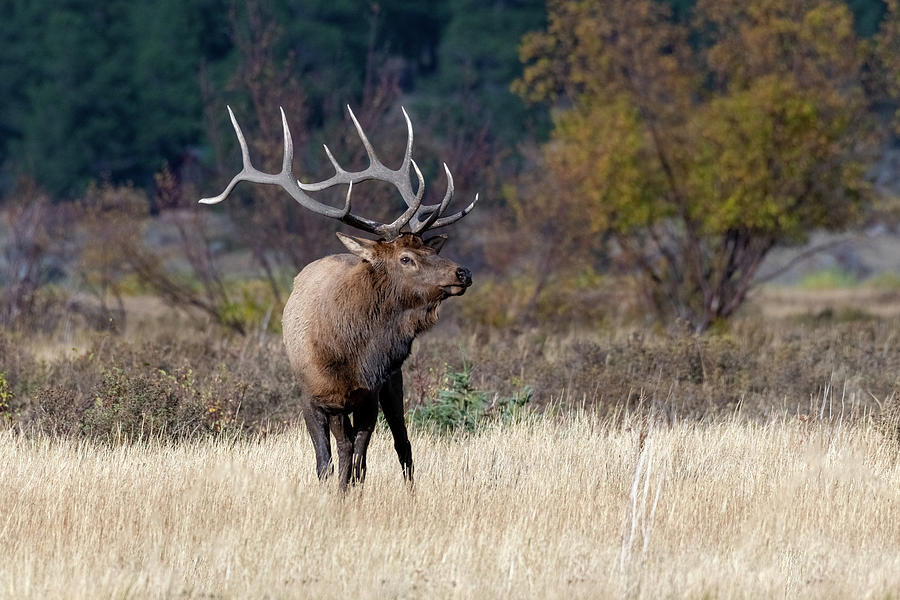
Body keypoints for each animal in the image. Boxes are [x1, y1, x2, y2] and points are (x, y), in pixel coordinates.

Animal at [198, 104, 478, 488]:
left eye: (428, 249)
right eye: (406, 258)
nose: (462, 272)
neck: (346, 351)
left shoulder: (368, 394)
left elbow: (358, 458)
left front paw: (349, 493)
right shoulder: (313, 396)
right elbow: (327, 461)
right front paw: (332, 492)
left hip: (392, 383)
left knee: (401, 443)